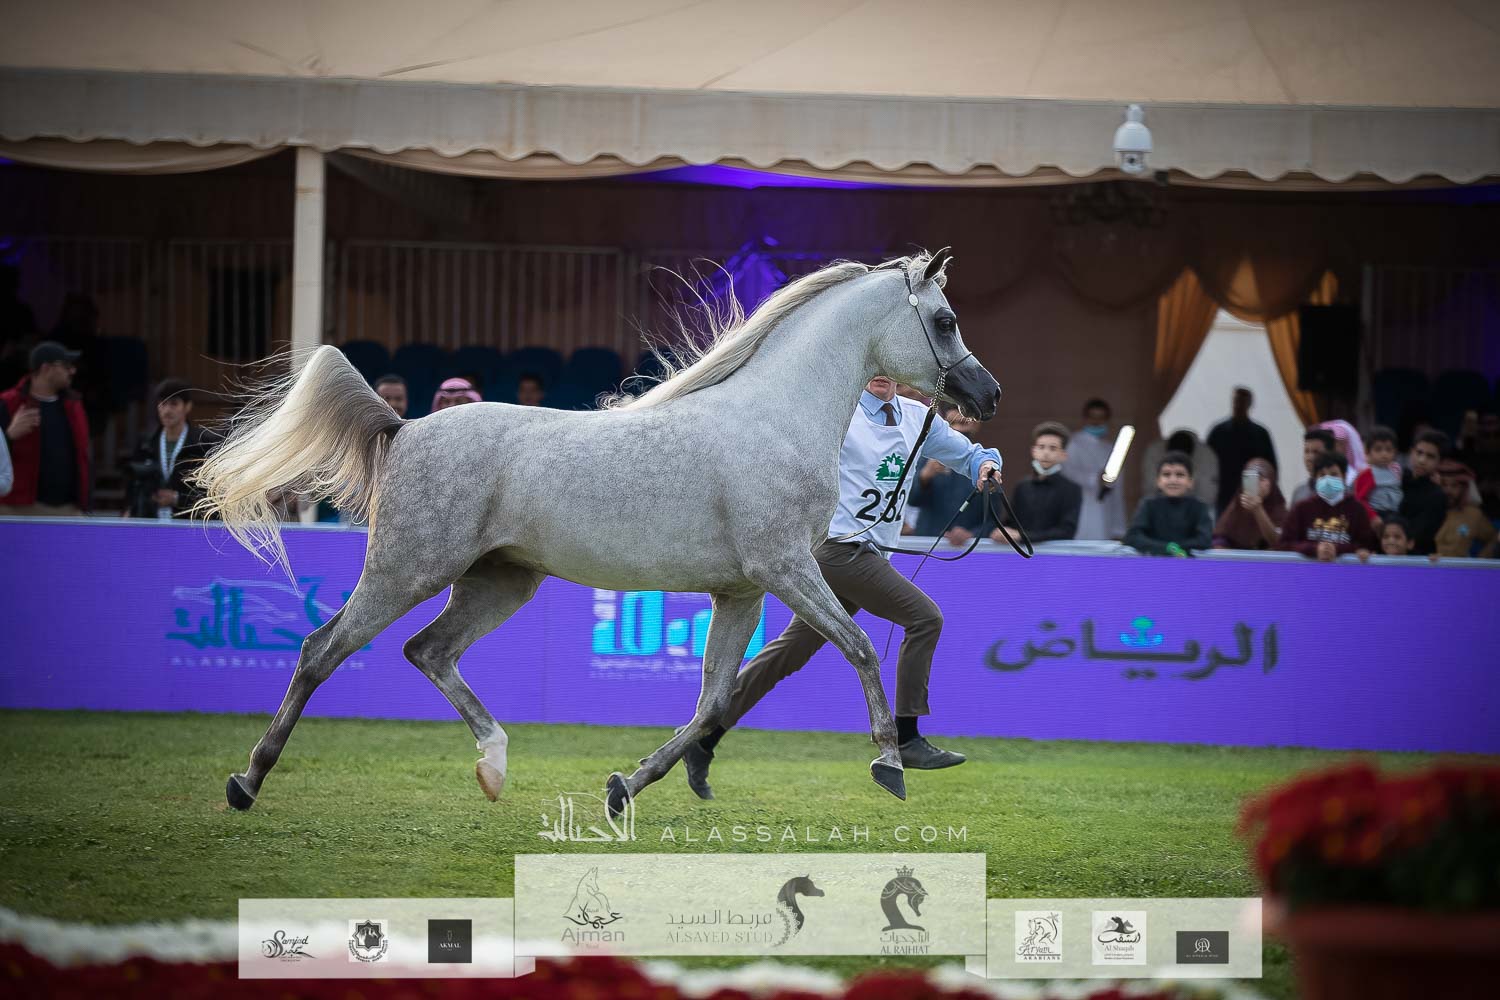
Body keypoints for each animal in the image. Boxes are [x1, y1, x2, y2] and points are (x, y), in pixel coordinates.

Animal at [194, 249, 1000, 816]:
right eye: (945, 320)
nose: (986, 394)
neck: (773, 419)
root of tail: (406, 427)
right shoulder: (787, 570)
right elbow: (860, 647)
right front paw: (889, 765)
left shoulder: (742, 591)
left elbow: (714, 699)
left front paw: (624, 787)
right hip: (406, 570)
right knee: (322, 650)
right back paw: (246, 782)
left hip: (500, 582)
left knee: (427, 651)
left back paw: (494, 767)